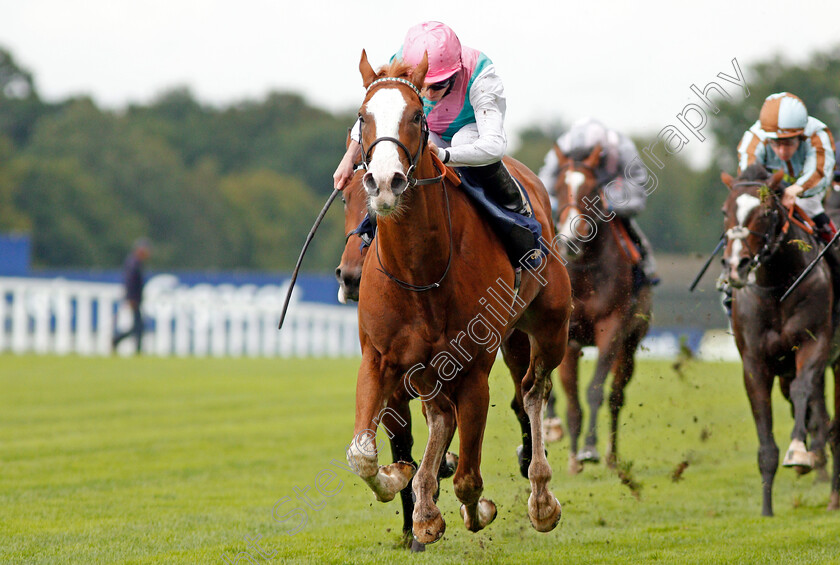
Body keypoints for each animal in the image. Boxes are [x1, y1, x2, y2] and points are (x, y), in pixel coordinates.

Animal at [344, 53, 576, 540]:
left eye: (417, 115)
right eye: (362, 116)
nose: (385, 181)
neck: (422, 271)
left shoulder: (474, 369)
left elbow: (470, 478)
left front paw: (472, 509)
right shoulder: (380, 358)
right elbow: (362, 454)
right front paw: (403, 482)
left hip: (549, 328)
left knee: (533, 391)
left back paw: (541, 497)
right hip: (427, 366)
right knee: (442, 415)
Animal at [552, 144, 656, 472]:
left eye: (591, 189)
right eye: (558, 188)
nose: (571, 240)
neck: (585, 273)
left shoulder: (611, 328)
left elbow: (595, 391)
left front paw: (589, 449)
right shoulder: (569, 338)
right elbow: (572, 399)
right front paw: (574, 458)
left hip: (630, 346)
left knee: (616, 396)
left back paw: (611, 455)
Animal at [720, 164, 836, 516]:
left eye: (766, 212)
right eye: (725, 211)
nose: (736, 265)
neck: (777, 287)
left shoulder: (815, 344)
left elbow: (802, 390)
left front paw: (798, 452)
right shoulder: (755, 363)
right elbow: (765, 438)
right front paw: (766, 510)